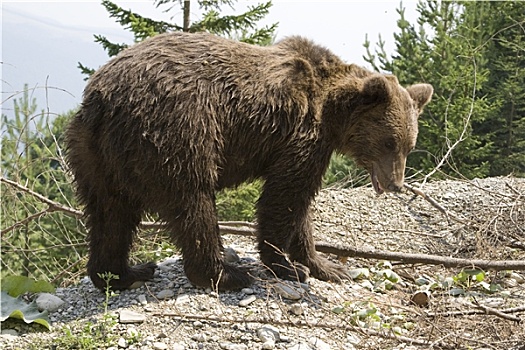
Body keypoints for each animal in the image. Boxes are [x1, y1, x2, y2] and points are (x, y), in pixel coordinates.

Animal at [65, 32, 432, 290]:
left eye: (408, 145)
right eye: (389, 141)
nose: (396, 183)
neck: (330, 112)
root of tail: (103, 99)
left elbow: (299, 205)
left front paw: (327, 266)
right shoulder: (301, 137)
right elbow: (285, 197)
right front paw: (289, 265)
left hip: (93, 154)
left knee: (110, 213)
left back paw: (125, 273)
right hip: (177, 131)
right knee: (193, 202)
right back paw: (227, 274)